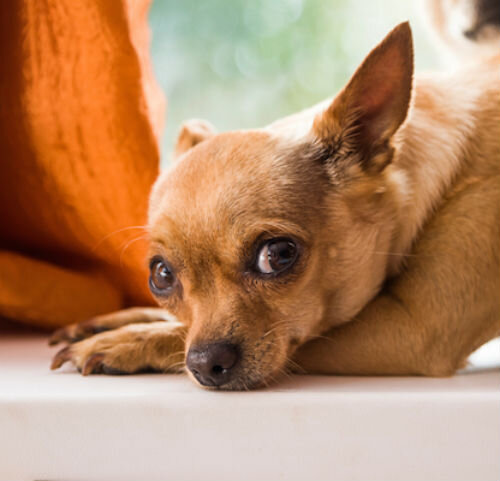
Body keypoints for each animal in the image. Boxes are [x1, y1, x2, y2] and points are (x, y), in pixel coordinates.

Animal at [48, 9, 498, 388]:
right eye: (161, 276)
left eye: (278, 255)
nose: (205, 364)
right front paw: (117, 321)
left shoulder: (415, 330)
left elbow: (182, 333)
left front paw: (129, 340)